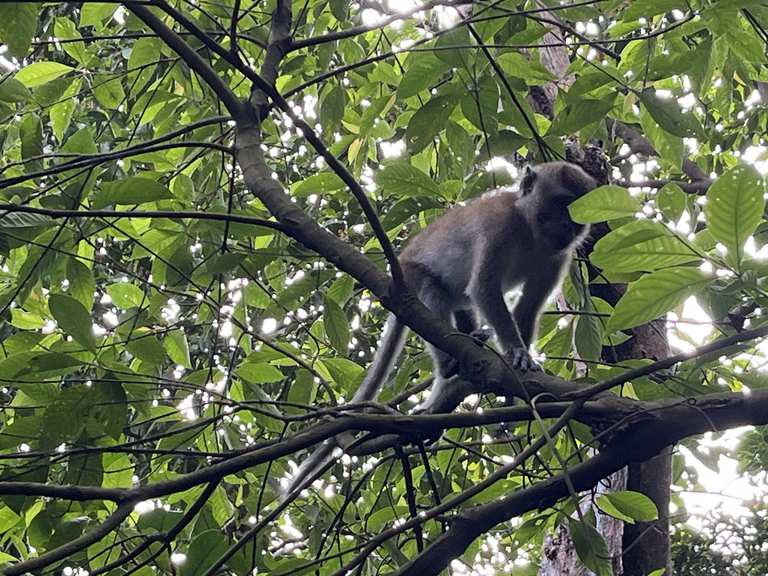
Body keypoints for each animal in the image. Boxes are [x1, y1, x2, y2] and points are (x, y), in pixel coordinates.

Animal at [281, 161, 596, 499]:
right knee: (435, 295)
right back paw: (447, 367)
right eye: (562, 204)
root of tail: (399, 269)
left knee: (463, 308)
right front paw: (516, 352)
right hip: (413, 278)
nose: (569, 226)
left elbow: (527, 309)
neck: (530, 231)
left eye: (577, 212)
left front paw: (516, 381)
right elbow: (484, 288)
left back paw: (469, 349)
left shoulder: (557, 256)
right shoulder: (500, 227)